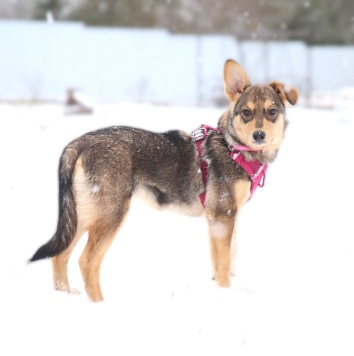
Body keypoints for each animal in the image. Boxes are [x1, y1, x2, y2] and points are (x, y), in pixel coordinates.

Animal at [29, 59, 298, 302]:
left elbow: (228, 257)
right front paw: (225, 295)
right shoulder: (222, 216)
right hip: (111, 213)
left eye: (272, 112)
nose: (259, 135)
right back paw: (98, 303)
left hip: (84, 213)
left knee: (60, 255)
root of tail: (80, 142)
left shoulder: (226, 217)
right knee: (86, 261)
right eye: (246, 113)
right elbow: (223, 266)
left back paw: (65, 296)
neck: (234, 148)